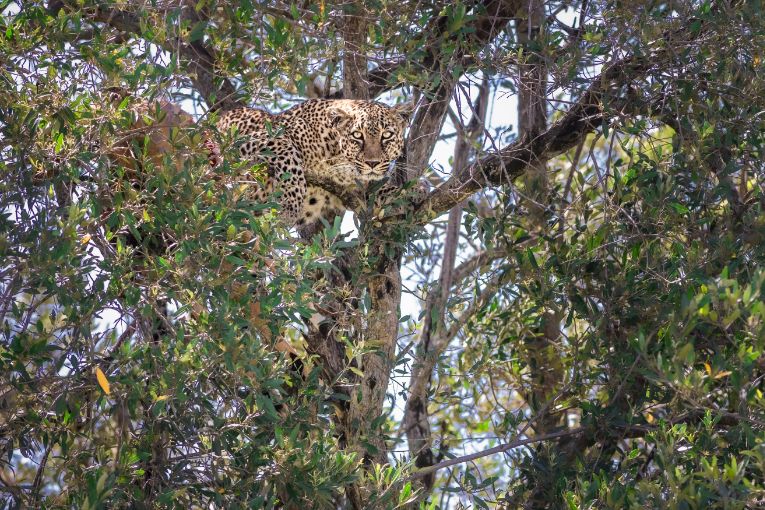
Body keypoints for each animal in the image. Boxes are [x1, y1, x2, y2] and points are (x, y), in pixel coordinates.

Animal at [215, 98, 414, 236]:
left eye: (386, 135)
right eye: (357, 135)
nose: (372, 163)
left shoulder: (356, 191)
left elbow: (382, 191)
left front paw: (410, 193)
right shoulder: (247, 140)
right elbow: (289, 155)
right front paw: (290, 207)